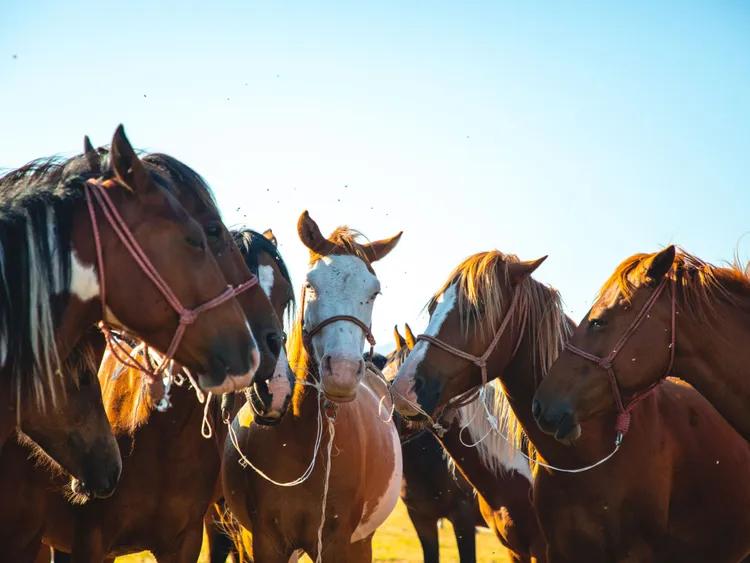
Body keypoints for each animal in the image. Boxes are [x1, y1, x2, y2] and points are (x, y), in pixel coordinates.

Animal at [222, 211, 402, 562]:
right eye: (310, 284)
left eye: (374, 292)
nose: (343, 371)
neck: (297, 436)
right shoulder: (265, 541)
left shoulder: (339, 543)